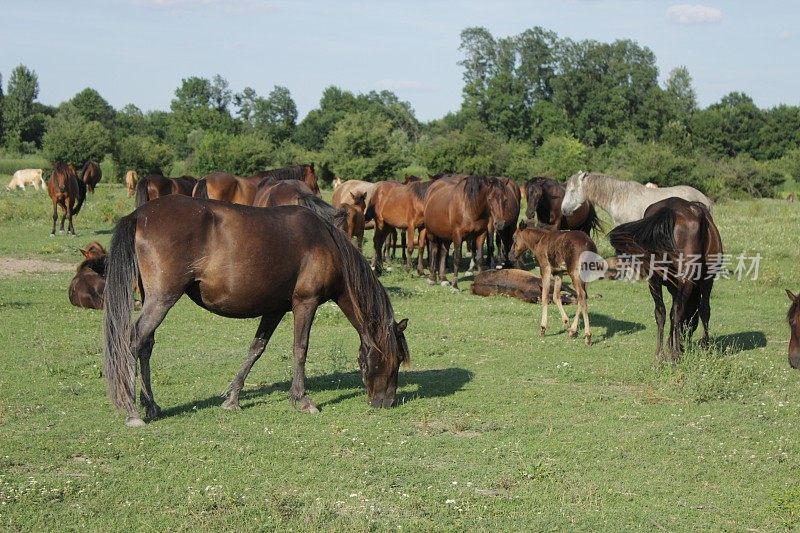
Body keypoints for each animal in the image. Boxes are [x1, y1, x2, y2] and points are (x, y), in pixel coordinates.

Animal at [102, 193, 410, 426]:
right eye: (395, 360)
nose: (387, 402)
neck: (327, 244)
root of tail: (139, 215)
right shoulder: (305, 303)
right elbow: (300, 349)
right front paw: (302, 399)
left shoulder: (275, 310)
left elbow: (256, 349)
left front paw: (233, 399)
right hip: (162, 299)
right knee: (133, 341)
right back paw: (132, 411)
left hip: (154, 300)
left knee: (145, 345)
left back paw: (151, 405)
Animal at [608, 197, 724, 364]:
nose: (685, 339)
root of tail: (670, 208)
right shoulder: (708, 280)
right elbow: (704, 310)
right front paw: (705, 347)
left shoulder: (672, 286)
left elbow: (669, 313)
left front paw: (671, 344)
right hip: (685, 277)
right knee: (677, 311)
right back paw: (676, 355)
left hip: (654, 280)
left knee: (660, 313)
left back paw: (659, 356)